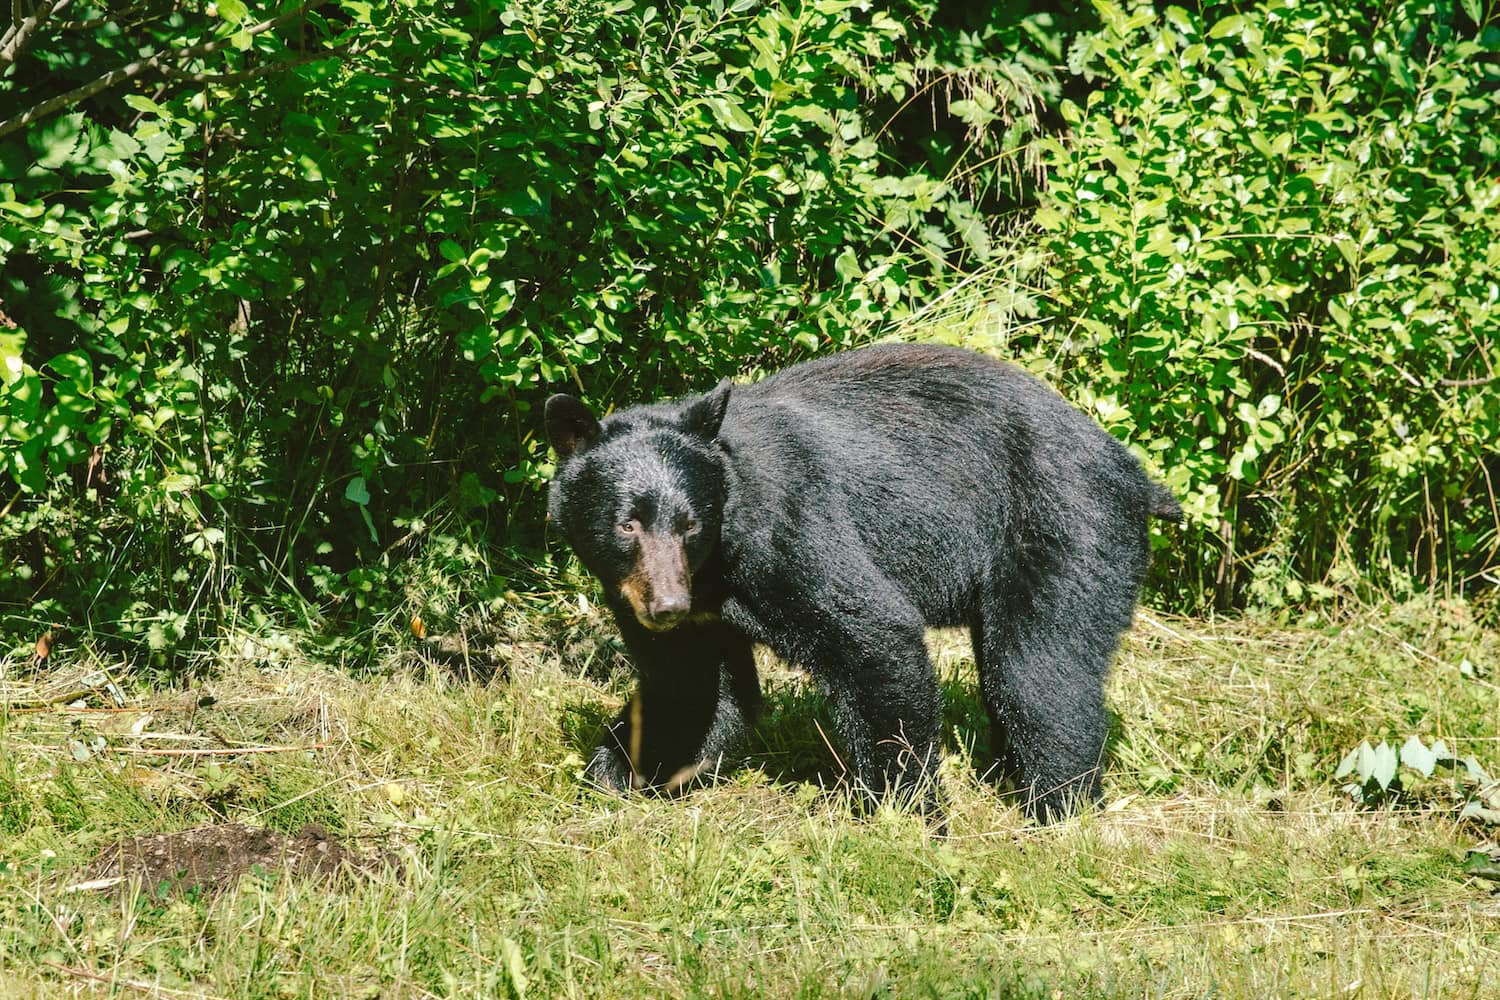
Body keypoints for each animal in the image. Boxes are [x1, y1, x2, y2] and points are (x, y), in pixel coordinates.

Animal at [544, 343, 1180, 822]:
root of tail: (1134, 472)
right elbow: (692, 687)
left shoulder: (790, 530)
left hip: (1063, 526)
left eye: (691, 522)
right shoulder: (666, 602)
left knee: (1040, 673)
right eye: (626, 523)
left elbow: (873, 637)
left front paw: (906, 811)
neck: (715, 568)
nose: (668, 605)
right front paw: (620, 771)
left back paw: (1058, 805)